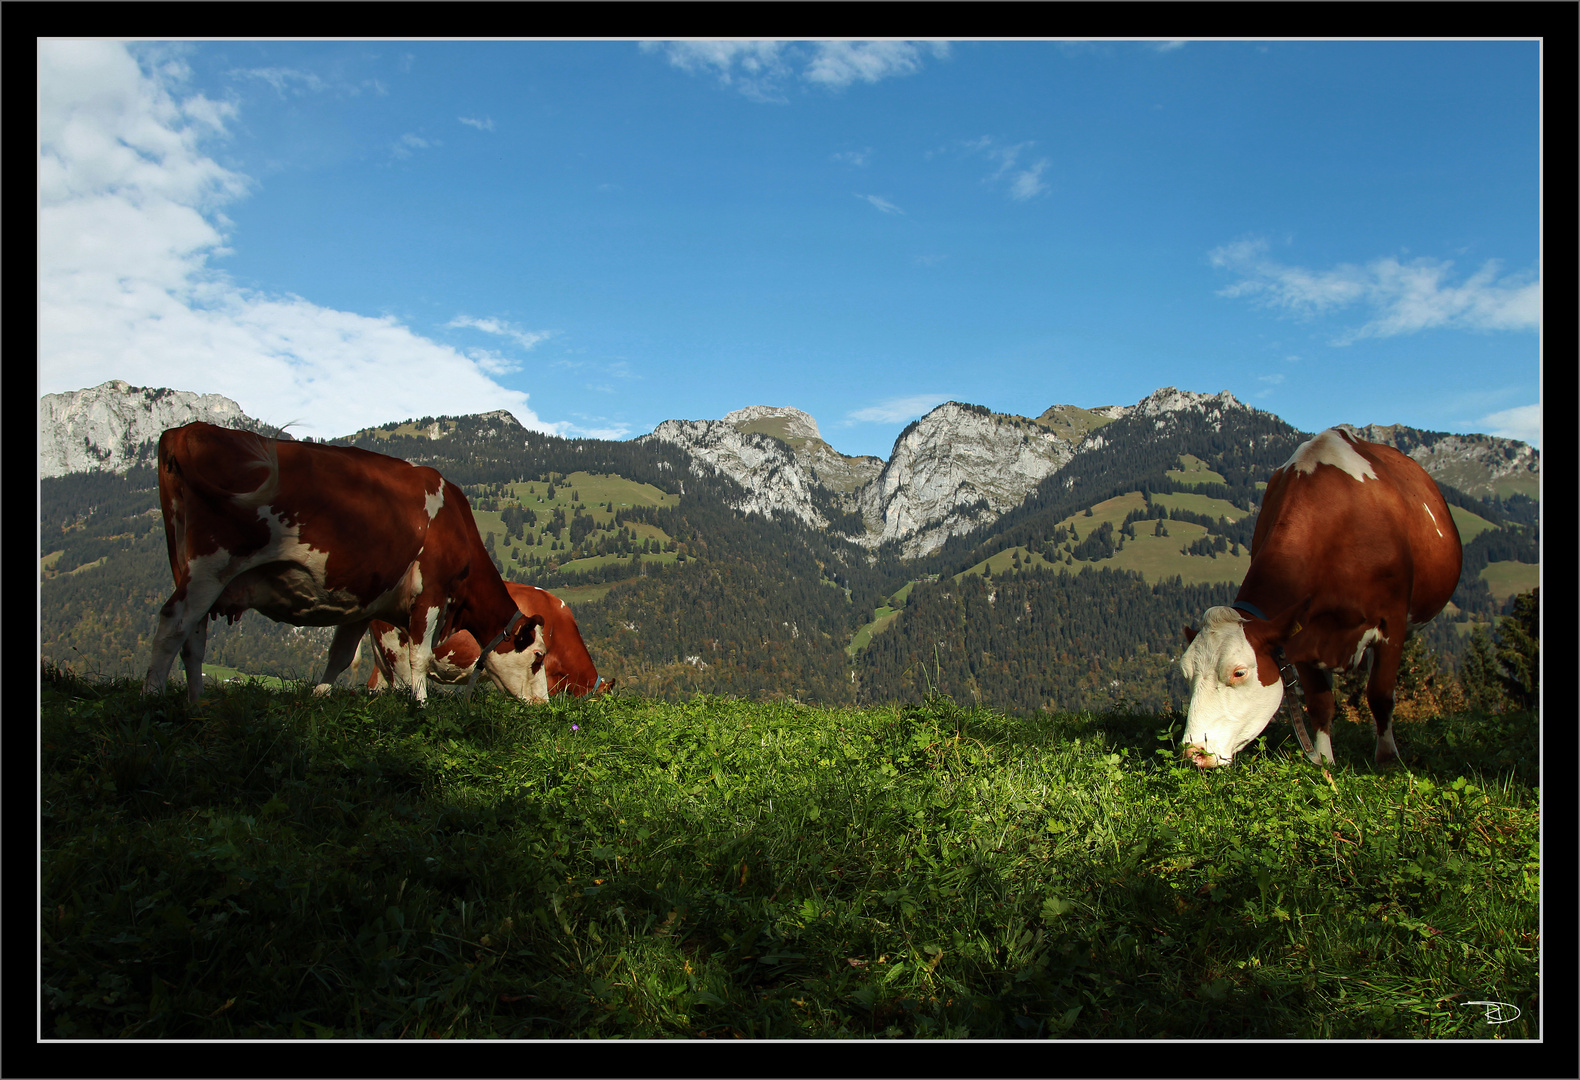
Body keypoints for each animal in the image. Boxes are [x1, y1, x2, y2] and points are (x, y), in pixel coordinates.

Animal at [143, 423, 549, 707]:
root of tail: (187, 431)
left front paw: (318, 697)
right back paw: (152, 697)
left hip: (188, 564)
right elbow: (419, 657)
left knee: (193, 637)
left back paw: (197, 702)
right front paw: (420, 706)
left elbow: (338, 658)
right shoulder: (431, 591)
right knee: (174, 623)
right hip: (214, 560)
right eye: (538, 657)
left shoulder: (362, 607)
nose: (543, 704)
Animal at [1181, 426, 1459, 770]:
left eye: (1239, 672)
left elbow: (1380, 694)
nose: (1194, 752)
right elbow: (1320, 703)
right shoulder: (1300, 635)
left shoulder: (1391, 622)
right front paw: (1324, 761)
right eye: (1186, 673)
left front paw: (1387, 759)